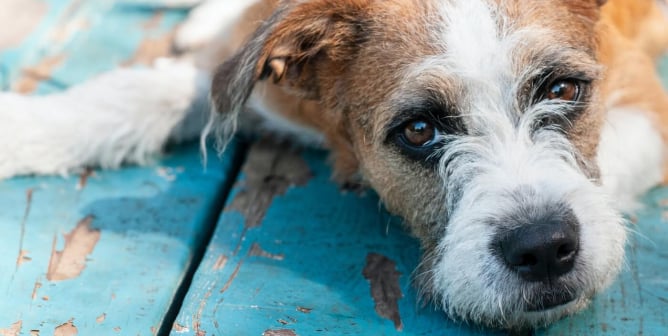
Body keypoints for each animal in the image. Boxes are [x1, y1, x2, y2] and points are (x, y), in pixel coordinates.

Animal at [3, 0, 668, 330]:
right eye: (419, 130)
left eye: (561, 90)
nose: (544, 248)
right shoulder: (248, 80)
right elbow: (133, 96)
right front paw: (25, 128)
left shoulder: (644, 101)